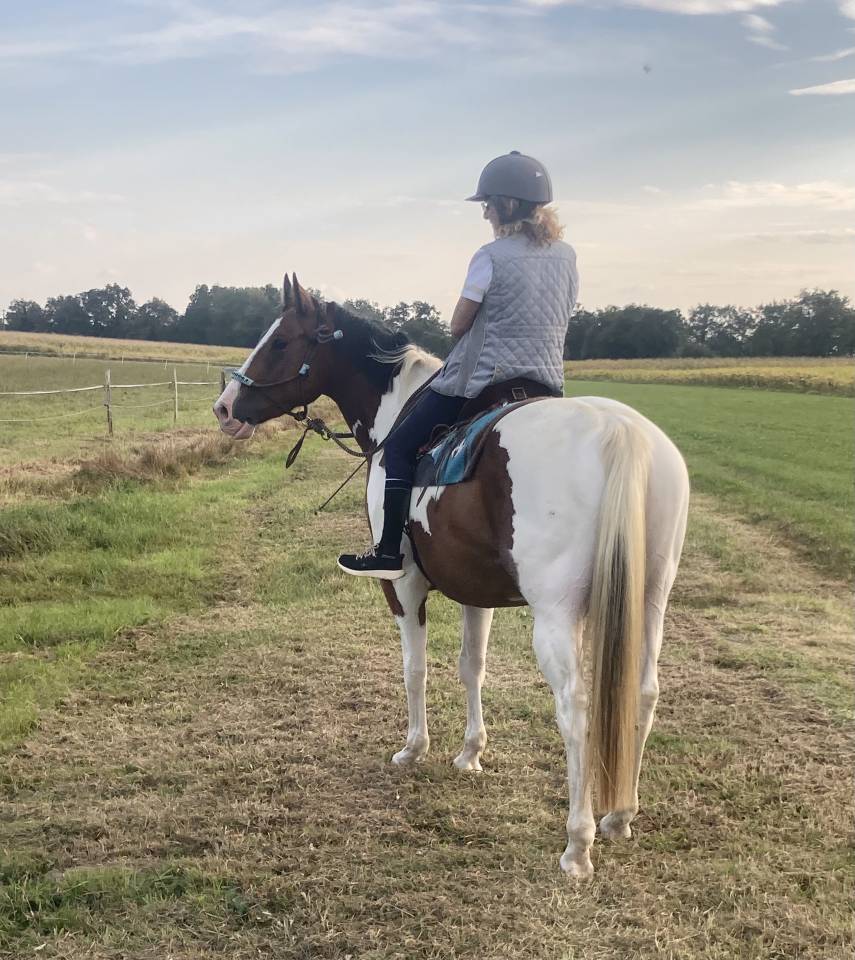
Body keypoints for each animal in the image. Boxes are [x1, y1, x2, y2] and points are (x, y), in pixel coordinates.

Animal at [213, 273, 690, 878]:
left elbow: (414, 670)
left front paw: (414, 748)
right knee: (645, 694)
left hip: (558, 617)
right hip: (650, 602)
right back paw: (620, 815)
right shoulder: (474, 592)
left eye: (279, 341)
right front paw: (470, 752)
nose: (225, 408)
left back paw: (578, 843)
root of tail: (619, 432)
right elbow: (471, 668)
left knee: (576, 708)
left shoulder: (404, 587)